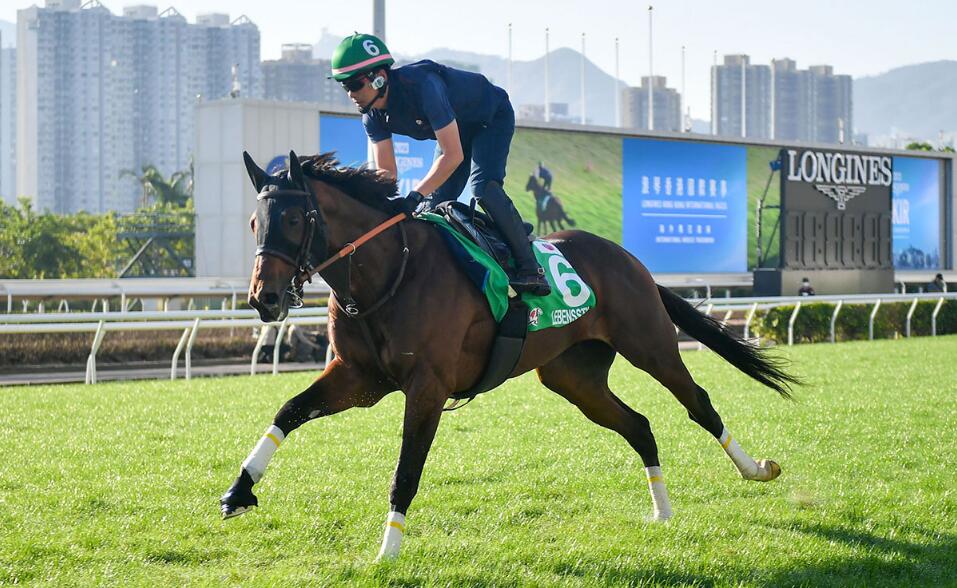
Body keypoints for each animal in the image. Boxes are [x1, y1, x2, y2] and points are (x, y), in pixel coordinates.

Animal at [220, 150, 796, 560]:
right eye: (253, 223)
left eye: (295, 219)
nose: (264, 298)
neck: (388, 273)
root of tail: (628, 257)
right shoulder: (359, 378)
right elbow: (289, 411)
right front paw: (239, 490)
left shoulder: (426, 386)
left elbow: (406, 470)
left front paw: (386, 553)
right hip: (572, 377)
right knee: (639, 425)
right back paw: (662, 513)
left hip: (650, 345)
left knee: (698, 402)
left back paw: (755, 469)